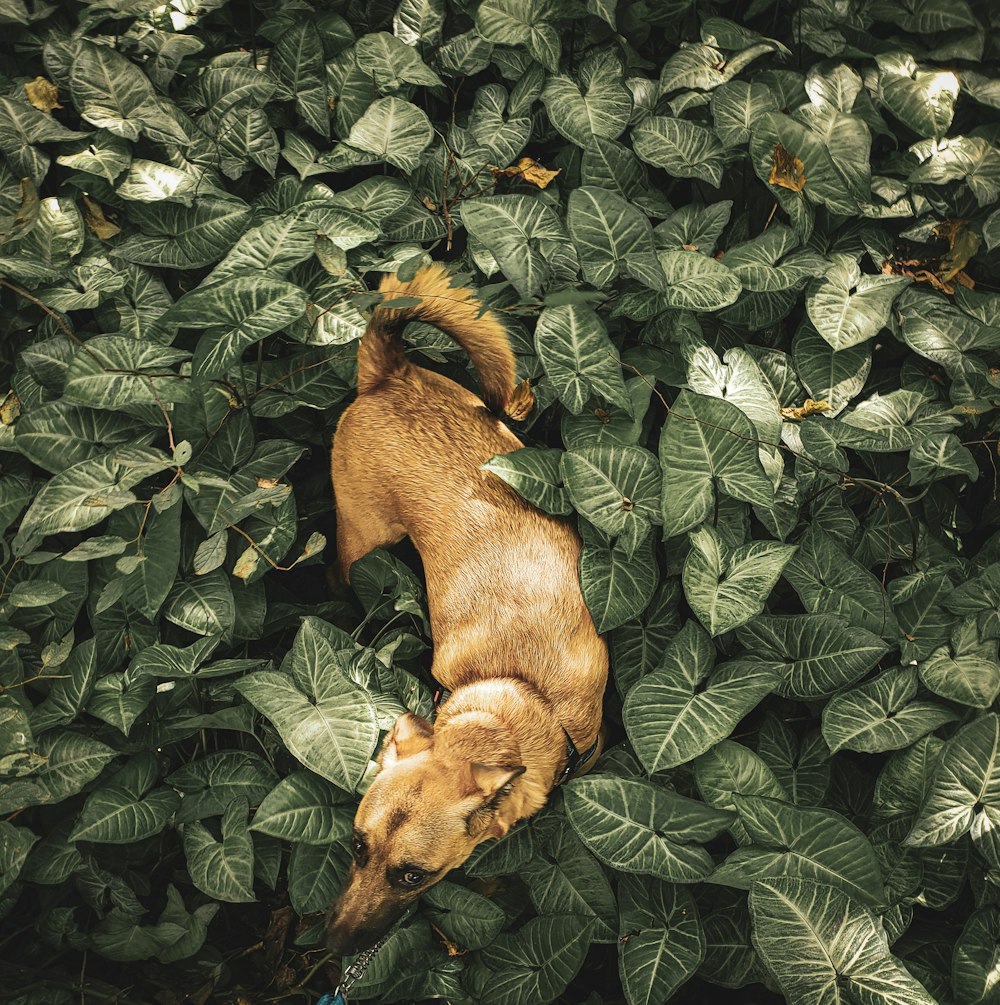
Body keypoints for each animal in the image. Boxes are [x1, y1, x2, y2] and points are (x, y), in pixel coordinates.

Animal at [327, 263, 611, 952]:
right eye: (355, 846)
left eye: (412, 876)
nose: (329, 944)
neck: (516, 693)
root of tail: (391, 373)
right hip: (366, 540)